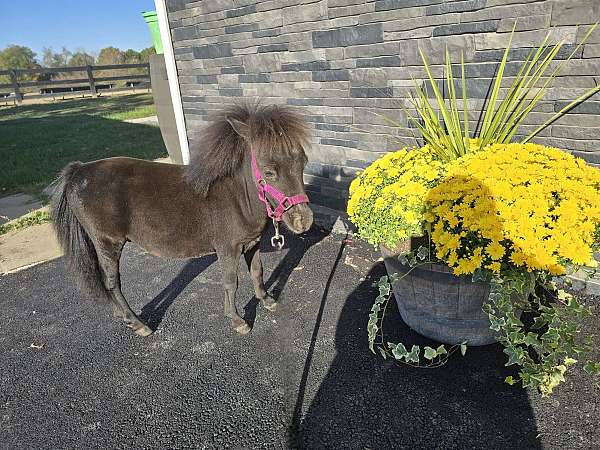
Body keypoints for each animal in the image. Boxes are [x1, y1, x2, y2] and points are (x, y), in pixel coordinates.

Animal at [51, 103, 312, 334]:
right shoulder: (228, 249)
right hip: (107, 243)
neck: (238, 195)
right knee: (112, 282)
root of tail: (79, 171)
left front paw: (266, 300)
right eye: (269, 172)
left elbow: (257, 272)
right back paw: (137, 323)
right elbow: (231, 282)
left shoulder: (252, 243)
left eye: (303, 162)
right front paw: (236, 320)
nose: (304, 221)